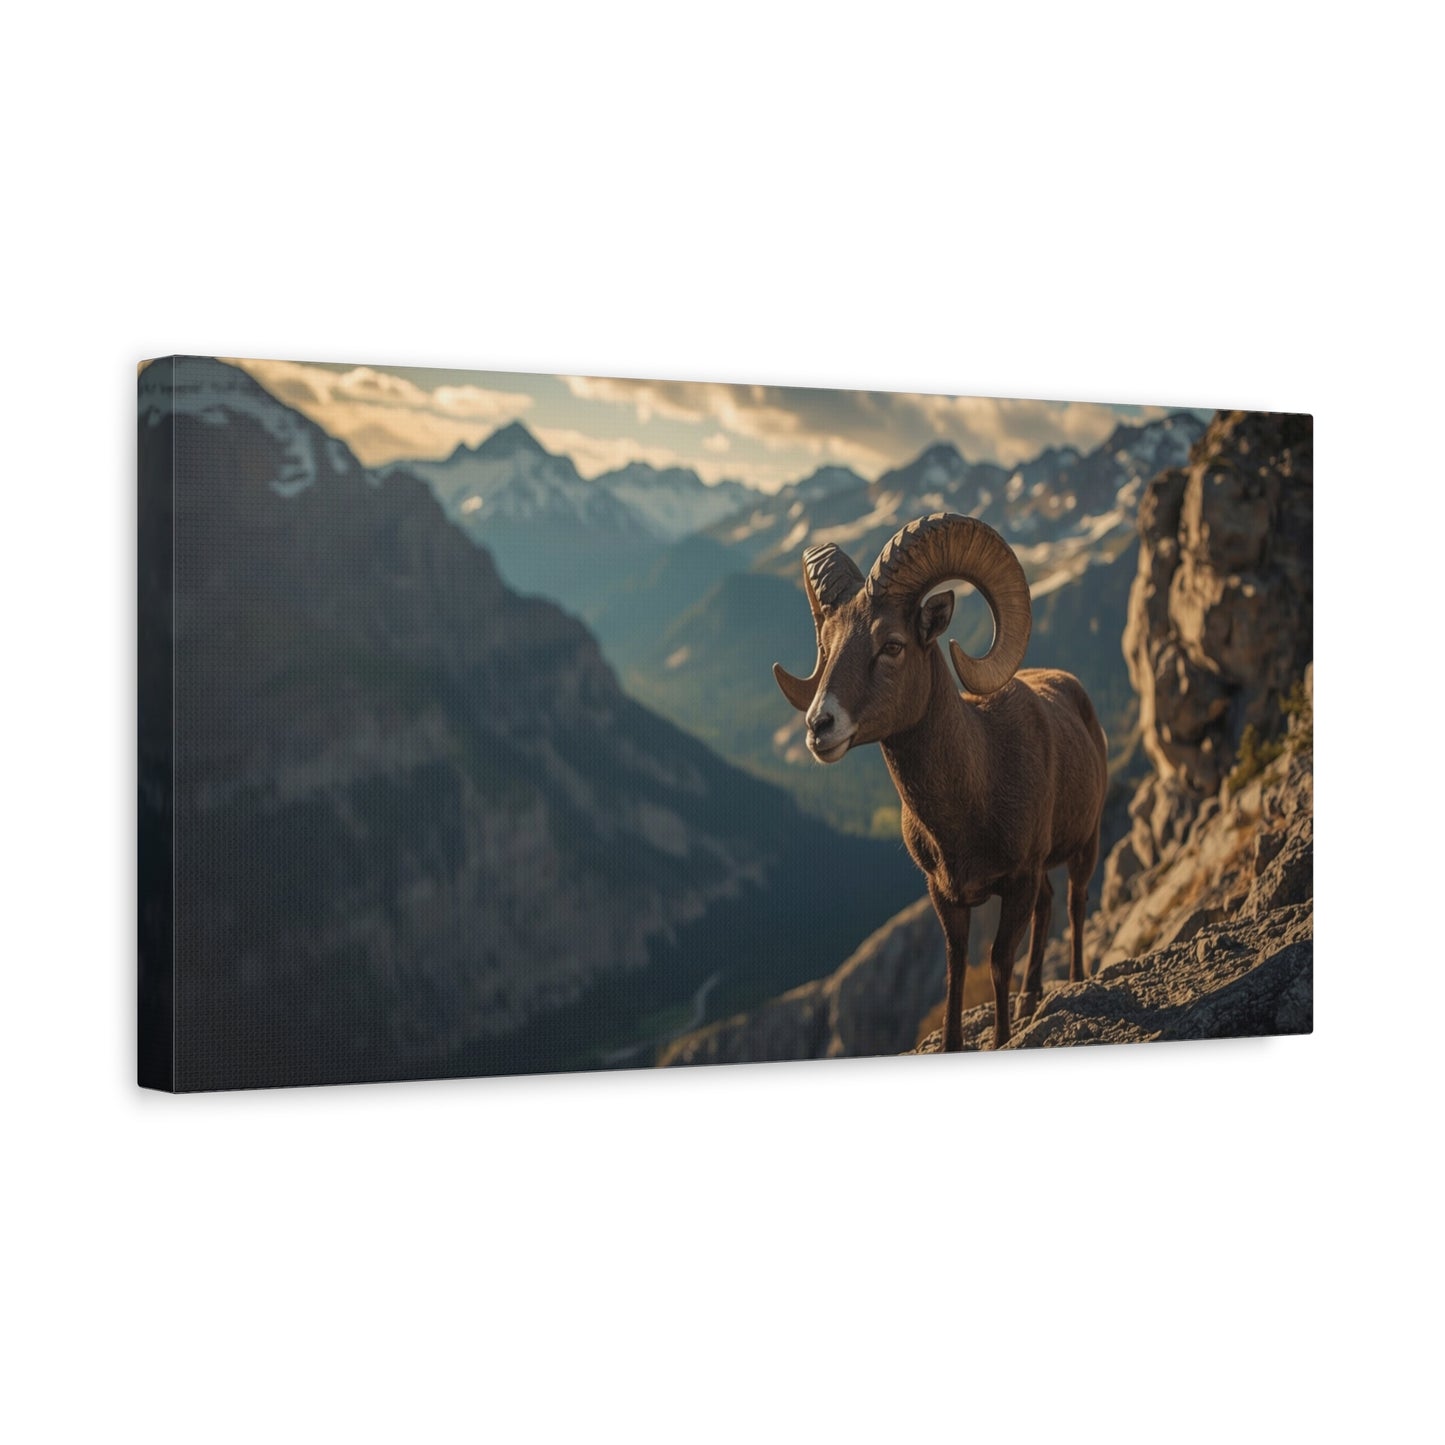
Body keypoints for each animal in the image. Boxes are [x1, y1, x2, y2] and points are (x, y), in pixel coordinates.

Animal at [773, 512, 1108, 1051]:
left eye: (892, 645)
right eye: (827, 646)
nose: (819, 726)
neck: (975, 796)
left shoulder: (1017, 883)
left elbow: (997, 962)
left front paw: (1001, 1038)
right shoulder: (945, 895)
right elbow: (956, 967)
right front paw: (955, 1043)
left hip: (1086, 845)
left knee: (1076, 905)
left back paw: (1073, 981)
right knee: (1050, 907)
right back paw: (1032, 999)